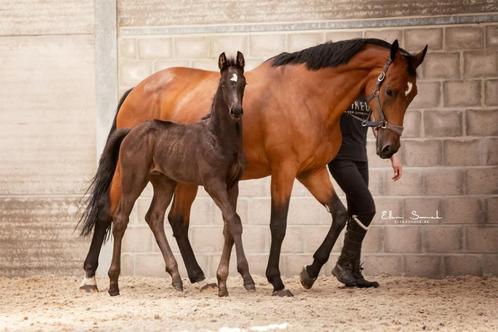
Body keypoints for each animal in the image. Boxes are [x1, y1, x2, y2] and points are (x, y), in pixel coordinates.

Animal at [105, 52, 253, 298]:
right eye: (224, 83)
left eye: (243, 83)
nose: (236, 111)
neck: (218, 138)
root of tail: (130, 131)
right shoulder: (214, 185)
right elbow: (234, 221)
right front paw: (242, 279)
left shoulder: (232, 185)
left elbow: (230, 225)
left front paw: (226, 280)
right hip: (133, 180)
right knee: (120, 220)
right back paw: (113, 284)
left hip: (164, 183)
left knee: (154, 217)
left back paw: (175, 277)